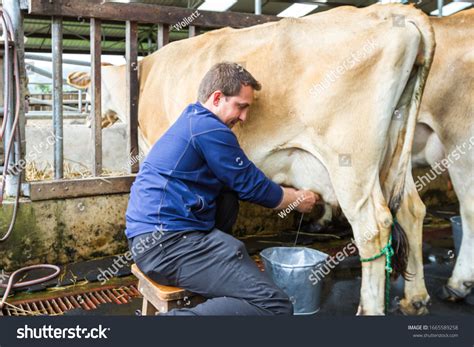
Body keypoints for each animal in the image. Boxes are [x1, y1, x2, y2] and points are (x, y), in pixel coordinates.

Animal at [68, 4, 436, 316]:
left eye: (90, 91)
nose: (85, 120)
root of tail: (391, 10)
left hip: (351, 160)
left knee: (374, 226)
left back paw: (370, 308)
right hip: (393, 154)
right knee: (410, 208)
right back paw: (415, 298)